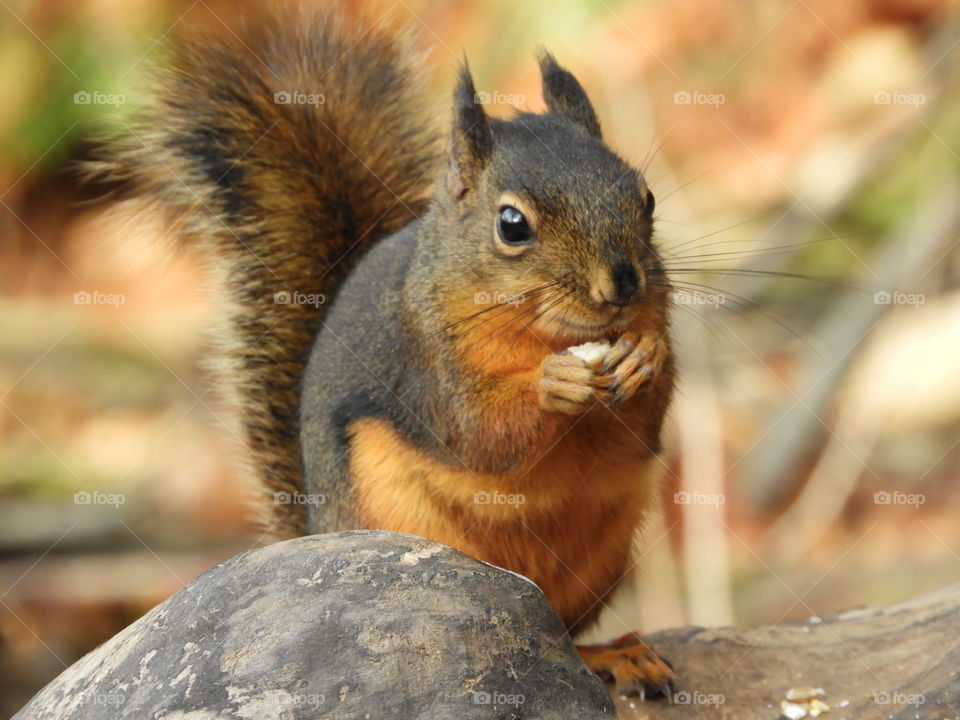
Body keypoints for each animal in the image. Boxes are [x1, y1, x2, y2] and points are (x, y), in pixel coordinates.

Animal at [99, 5, 677, 699]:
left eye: (646, 198)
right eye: (512, 225)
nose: (621, 284)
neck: (545, 337)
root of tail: (318, 529)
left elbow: (644, 424)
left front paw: (644, 357)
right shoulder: (422, 367)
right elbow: (478, 434)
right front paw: (554, 384)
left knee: (562, 630)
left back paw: (611, 654)